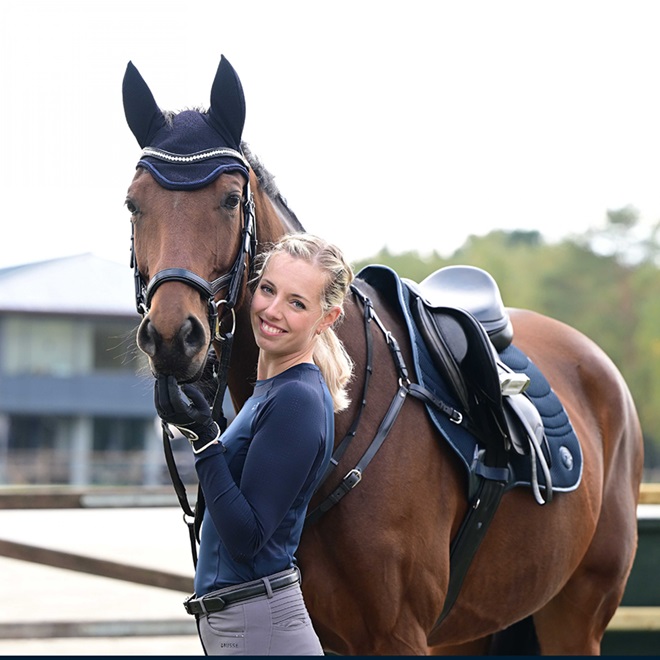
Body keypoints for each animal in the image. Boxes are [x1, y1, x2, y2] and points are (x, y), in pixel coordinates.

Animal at [121, 56, 640, 656]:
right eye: (134, 204)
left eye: (230, 200)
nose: (172, 336)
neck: (346, 419)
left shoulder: (399, 634)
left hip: (575, 615)